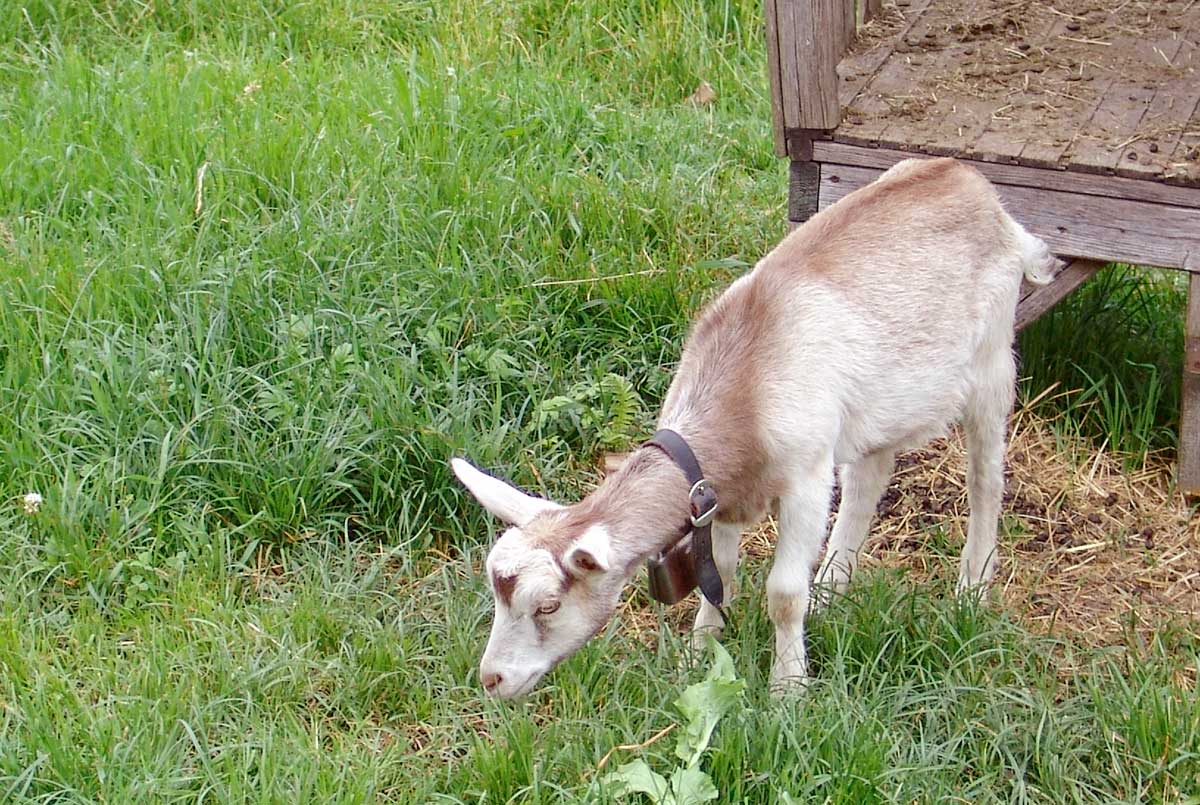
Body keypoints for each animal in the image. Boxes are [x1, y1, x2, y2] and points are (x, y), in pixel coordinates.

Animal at [452, 158, 1055, 699]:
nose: (491, 679)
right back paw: (832, 589)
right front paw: (699, 656)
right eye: (498, 595)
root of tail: (977, 188)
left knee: (985, 479)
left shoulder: (807, 477)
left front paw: (788, 689)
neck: (744, 400)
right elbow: (719, 573)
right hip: (875, 405)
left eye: (548, 604)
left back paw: (971, 589)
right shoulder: (716, 498)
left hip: (993, 360)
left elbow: (783, 592)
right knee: (869, 478)